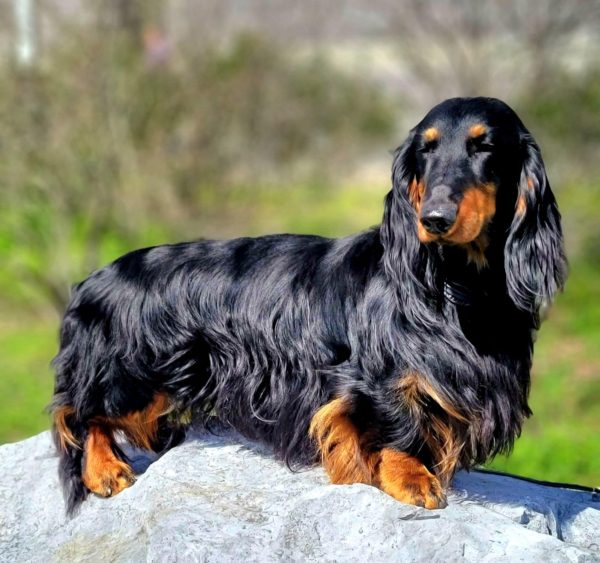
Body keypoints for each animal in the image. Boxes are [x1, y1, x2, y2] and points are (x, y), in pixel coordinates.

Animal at [49, 98, 564, 516]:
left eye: (485, 146)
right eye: (426, 149)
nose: (433, 219)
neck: (457, 287)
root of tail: (90, 280)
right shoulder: (373, 380)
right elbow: (399, 425)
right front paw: (411, 477)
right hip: (136, 373)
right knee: (77, 412)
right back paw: (104, 469)